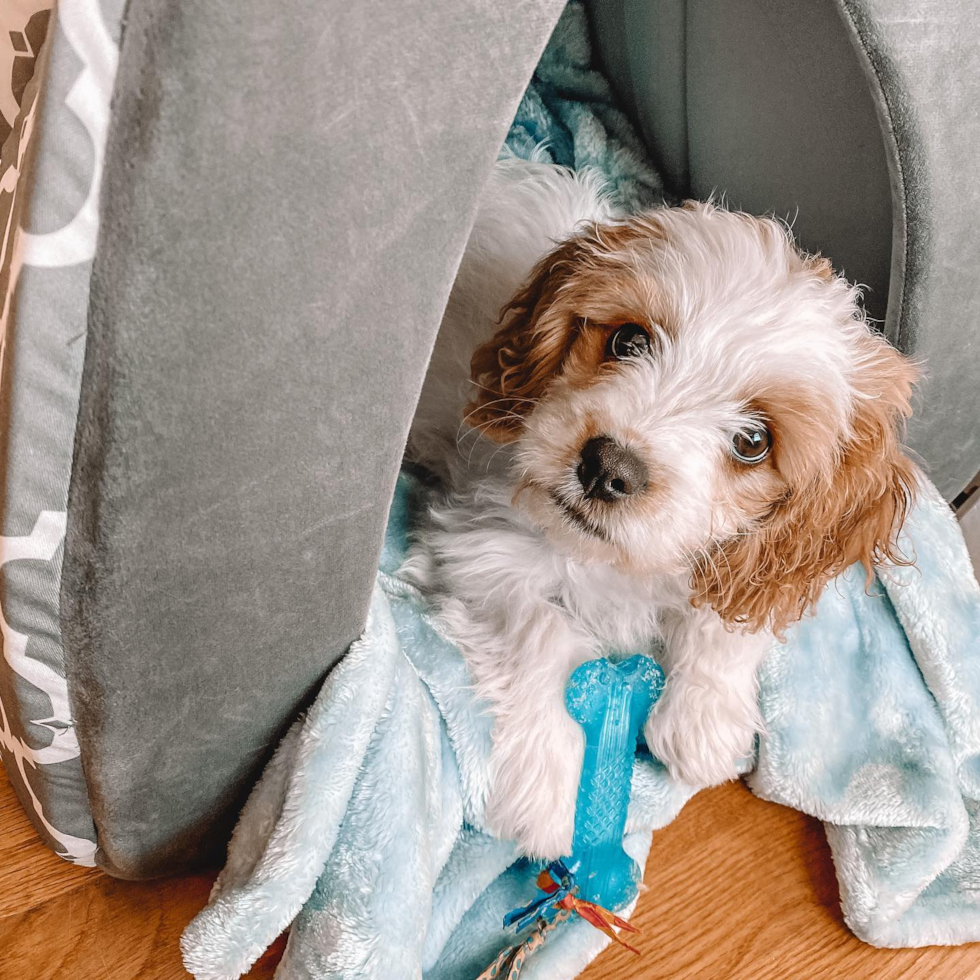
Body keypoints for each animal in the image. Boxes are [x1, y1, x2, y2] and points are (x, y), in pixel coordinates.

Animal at [400, 157, 920, 860]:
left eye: (753, 442)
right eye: (626, 341)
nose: (607, 467)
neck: (623, 568)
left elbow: (723, 615)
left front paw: (703, 717)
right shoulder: (479, 543)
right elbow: (540, 630)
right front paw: (552, 793)